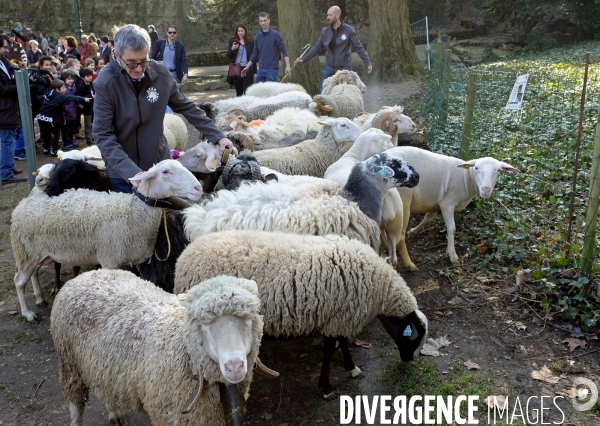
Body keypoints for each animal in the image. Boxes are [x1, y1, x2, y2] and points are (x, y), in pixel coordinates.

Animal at [10, 160, 203, 322]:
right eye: (166, 172)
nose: (198, 188)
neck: (133, 212)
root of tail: (23, 203)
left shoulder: (137, 259)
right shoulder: (110, 259)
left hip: (35, 253)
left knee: (33, 274)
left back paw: (39, 297)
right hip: (26, 252)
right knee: (19, 281)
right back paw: (28, 313)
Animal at [51, 272, 272, 424]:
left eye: (248, 320)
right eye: (205, 325)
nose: (234, 367)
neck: (183, 350)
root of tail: (85, 275)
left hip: (103, 367)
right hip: (69, 363)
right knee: (75, 405)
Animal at [176, 230, 428, 400]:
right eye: (413, 338)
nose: (410, 360)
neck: (380, 288)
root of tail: (184, 255)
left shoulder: (339, 316)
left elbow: (343, 343)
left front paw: (351, 368)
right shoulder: (339, 316)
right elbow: (330, 350)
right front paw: (326, 387)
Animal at [384, 146, 520, 262]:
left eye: (499, 170)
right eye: (476, 168)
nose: (486, 190)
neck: (466, 178)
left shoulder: (436, 202)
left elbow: (428, 218)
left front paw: (414, 231)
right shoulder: (447, 203)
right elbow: (452, 228)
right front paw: (452, 255)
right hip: (404, 202)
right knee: (399, 235)